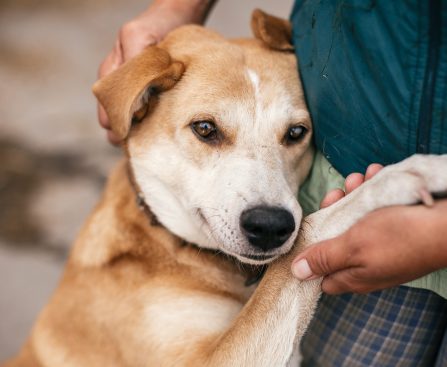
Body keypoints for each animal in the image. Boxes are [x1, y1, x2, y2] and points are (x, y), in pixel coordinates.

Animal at [6, 9, 447, 367]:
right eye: (205, 128)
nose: (269, 226)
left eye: (296, 132)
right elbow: (305, 235)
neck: (167, 244)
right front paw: (408, 175)